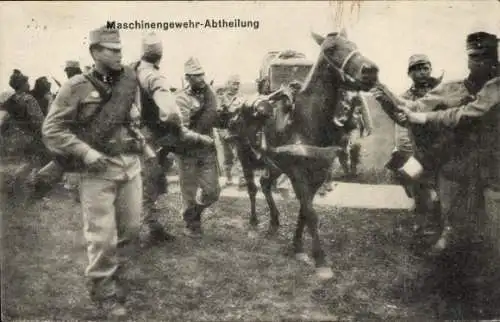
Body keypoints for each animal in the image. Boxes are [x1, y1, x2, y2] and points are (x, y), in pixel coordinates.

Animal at [227, 30, 378, 280]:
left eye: (354, 44)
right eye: (331, 49)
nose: (371, 71)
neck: (308, 120)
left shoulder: (317, 174)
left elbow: (303, 211)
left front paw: (297, 247)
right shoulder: (298, 174)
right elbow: (310, 212)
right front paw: (321, 260)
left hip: (275, 164)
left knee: (265, 183)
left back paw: (274, 222)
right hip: (244, 156)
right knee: (252, 188)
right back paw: (254, 222)